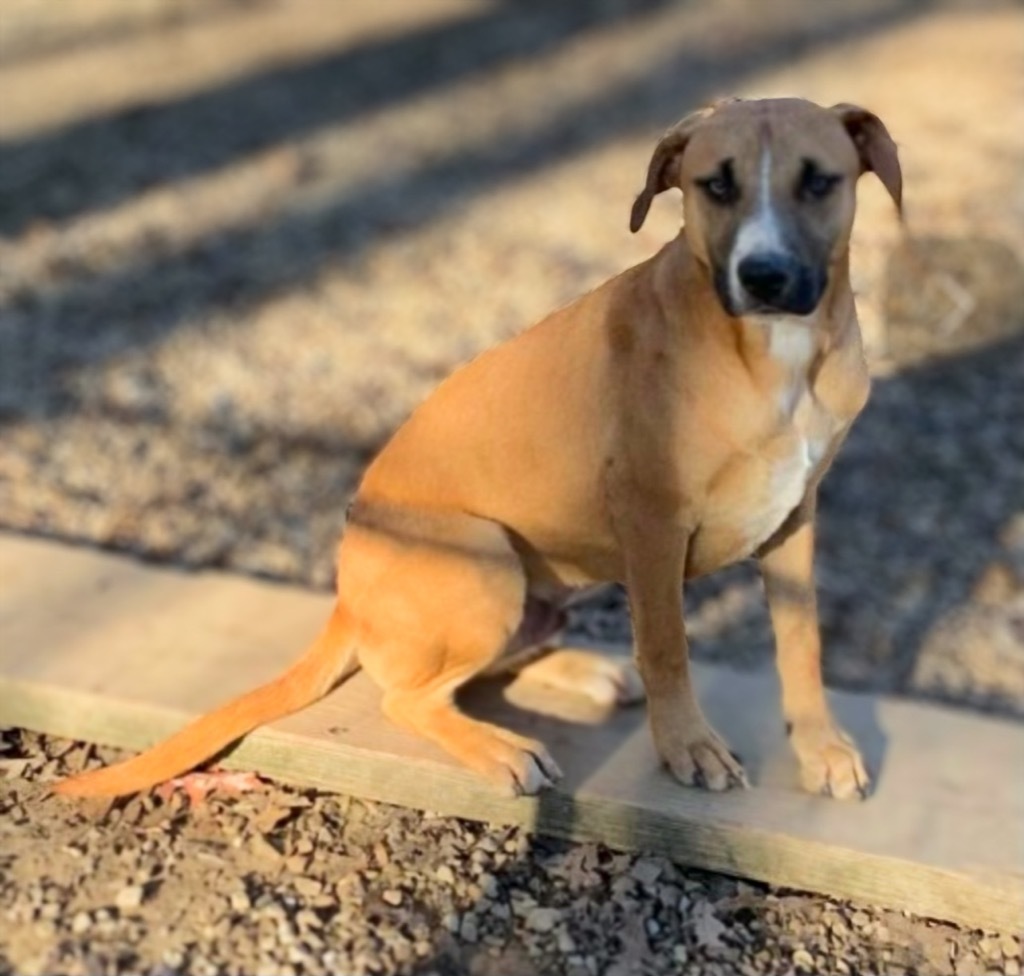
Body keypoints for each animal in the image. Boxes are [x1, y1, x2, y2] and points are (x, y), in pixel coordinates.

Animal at [56, 97, 901, 798]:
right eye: (714, 186)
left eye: (819, 181)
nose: (764, 276)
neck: (774, 358)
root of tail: (345, 600)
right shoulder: (652, 520)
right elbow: (668, 648)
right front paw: (687, 746)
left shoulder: (796, 518)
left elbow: (802, 644)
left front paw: (821, 748)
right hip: (485, 557)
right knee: (408, 697)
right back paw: (503, 748)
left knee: (494, 663)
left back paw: (586, 671)